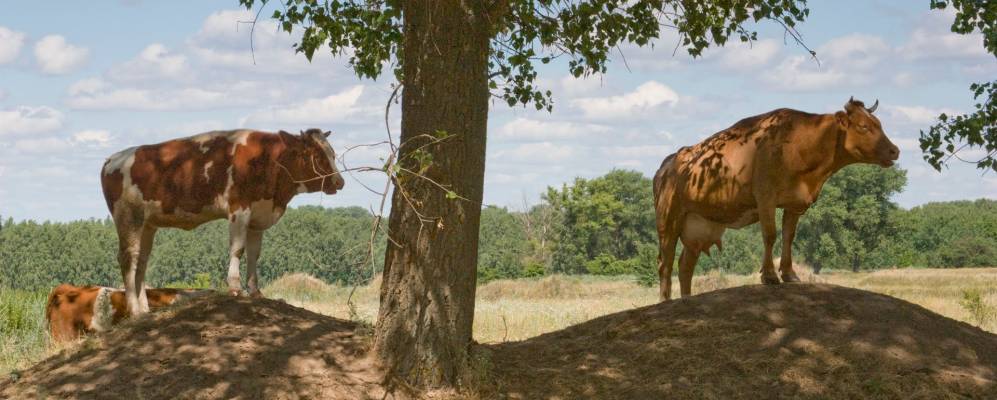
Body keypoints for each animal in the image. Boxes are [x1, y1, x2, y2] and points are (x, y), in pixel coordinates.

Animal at [101, 128, 342, 316]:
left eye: (332, 153)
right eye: (316, 155)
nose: (340, 182)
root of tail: (112, 159)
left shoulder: (258, 216)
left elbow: (254, 254)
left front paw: (255, 291)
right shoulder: (239, 208)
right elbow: (238, 249)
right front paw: (235, 288)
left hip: (147, 224)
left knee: (141, 261)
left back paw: (144, 310)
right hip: (128, 218)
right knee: (128, 259)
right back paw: (134, 310)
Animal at [656, 97, 900, 300]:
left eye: (879, 124)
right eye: (864, 126)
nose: (895, 151)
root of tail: (670, 162)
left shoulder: (795, 204)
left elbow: (788, 237)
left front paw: (790, 274)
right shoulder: (766, 197)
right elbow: (770, 235)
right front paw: (769, 276)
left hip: (696, 228)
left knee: (685, 266)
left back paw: (686, 299)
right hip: (668, 220)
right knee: (665, 264)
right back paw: (665, 301)